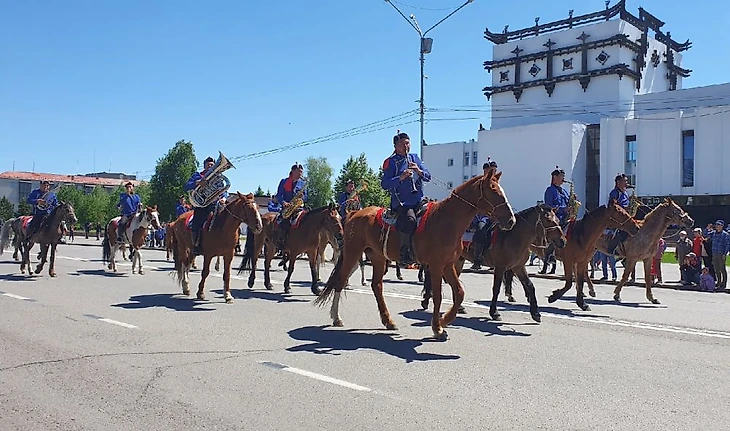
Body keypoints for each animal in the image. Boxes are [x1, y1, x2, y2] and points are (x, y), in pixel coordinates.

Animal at [316, 170, 516, 342]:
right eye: (494, 191)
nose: (511, 220)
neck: (446, 220)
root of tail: (354, 213)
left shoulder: (448, 264)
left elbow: (459, 293)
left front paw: (444, 321)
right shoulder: (436, 265)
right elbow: (438, 296)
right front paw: (437, 328)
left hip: (378, 256)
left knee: (377, 286)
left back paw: (388, 321)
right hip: (353, 253)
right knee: (340, 281)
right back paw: (336, 317)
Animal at [420, 206, 568, 324]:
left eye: (558, 220)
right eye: (548, 220)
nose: (563, 241)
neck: (513, 236)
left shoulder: (518, 267)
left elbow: (530, 286)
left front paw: (536, 313)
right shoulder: (500, 267)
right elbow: (496, 289)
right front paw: (494, 312)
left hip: (457, 261)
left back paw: (458, 307)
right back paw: (426, 300)